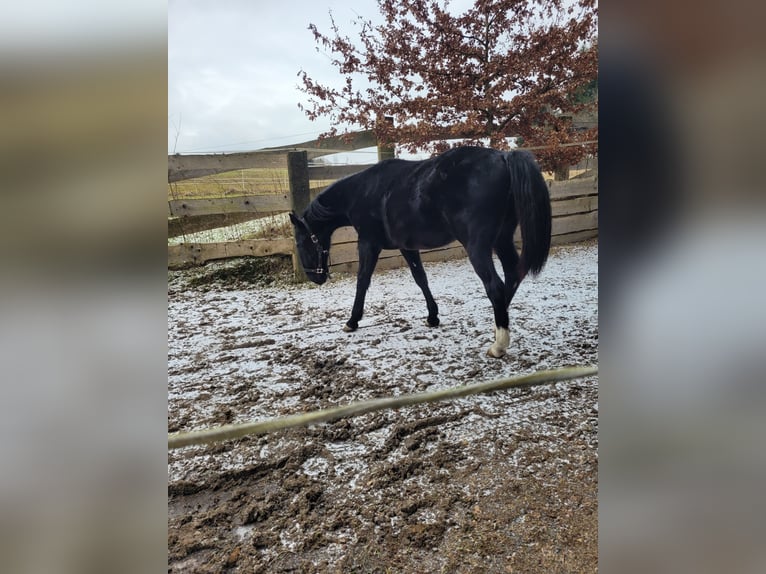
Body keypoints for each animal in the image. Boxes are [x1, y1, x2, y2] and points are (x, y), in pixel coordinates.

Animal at [290, 146, 552, 358]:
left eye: (300, 243)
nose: (315, 276)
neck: (363, 192)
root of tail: (503, 157)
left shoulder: (368, 243)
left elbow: (362, 280)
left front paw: (352, 321)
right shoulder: (407, 247)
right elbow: (421, 278)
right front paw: (432, 316)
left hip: (478, 247)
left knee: (495, 286)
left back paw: (498, 346)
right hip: (502, 239)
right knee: (513, 275)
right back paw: (500, 326)